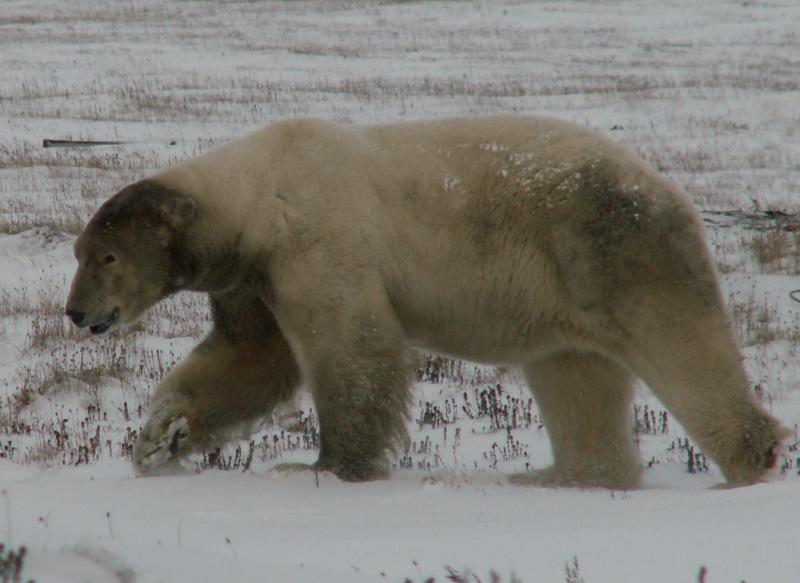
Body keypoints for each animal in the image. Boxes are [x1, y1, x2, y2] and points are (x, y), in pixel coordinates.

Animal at [67, 115, 788, 488]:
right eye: (79, 251)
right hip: (565, 291)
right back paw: (561, 476)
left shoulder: (320, 242)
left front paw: (324, 465)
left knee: (681, 347)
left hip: (614, 251)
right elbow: (249, 359)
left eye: (106, 258)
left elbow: (349, 349)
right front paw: (161, 436)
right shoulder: (255, 275)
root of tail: (671, 190)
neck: (260, 195)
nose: (76, 312)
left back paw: (748, 463)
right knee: (575, 375)